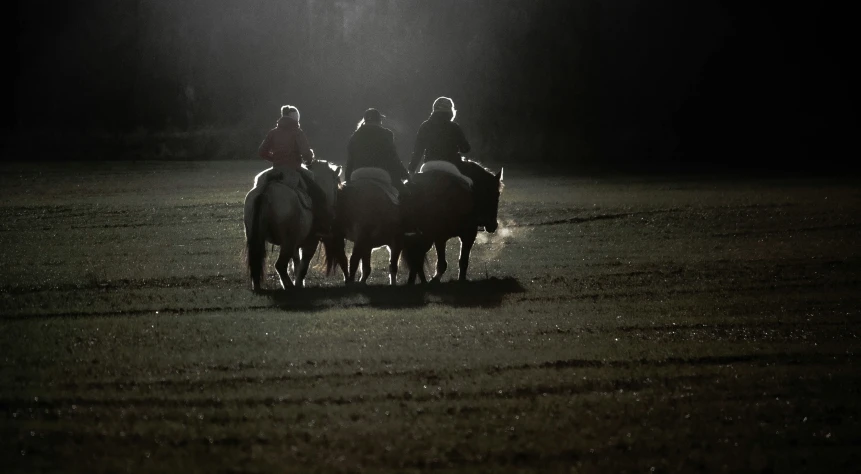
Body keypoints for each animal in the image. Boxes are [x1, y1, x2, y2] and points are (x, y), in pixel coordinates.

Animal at [244, 161, 340, 290]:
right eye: (336, 188)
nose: (334, 212)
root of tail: (267, 189)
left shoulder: (295, 244)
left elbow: (296, 264)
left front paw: (299, 283)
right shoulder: (311, 242)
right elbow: (303, 266)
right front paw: (299, 284)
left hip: (256, 237)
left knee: (256, 259)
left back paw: (257, 287)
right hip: (287, 242)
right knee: (280, 265)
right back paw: (289, 286)